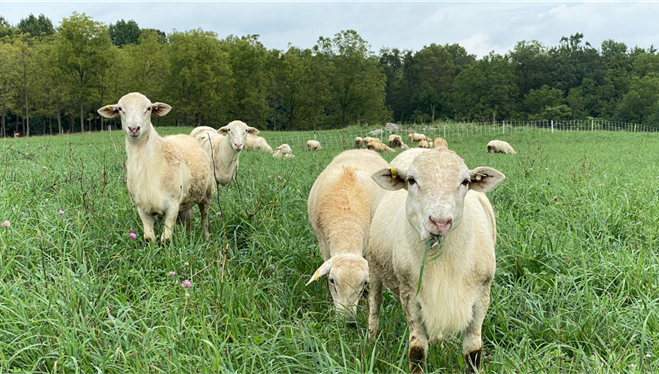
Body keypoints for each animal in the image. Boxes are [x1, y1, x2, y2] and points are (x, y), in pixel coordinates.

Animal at [97, 93, 214, 243]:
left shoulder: (172, 206)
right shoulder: (142, 207)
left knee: (205, 218)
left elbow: (166, 240)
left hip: (207, 193)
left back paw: (206, 240)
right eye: (120, 109)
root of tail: (184, 135)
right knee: (186, 220)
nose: (134, 129)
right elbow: (149, 239)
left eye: (148, 108)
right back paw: (186, 236)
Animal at [306, 149, 390, 322]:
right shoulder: (323, 244)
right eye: (332, 281)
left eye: (364, 283)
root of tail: (361, 149)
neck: (347, 222)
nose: (347, 320)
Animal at [366, 149, 506, 374]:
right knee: (374, 305)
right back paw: (370, 343)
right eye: (411, 180)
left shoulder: (482, 294)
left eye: (465, 181)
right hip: (374, 266)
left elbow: (473, 352)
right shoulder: (410, 295)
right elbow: (416, 352)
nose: (440, 222)